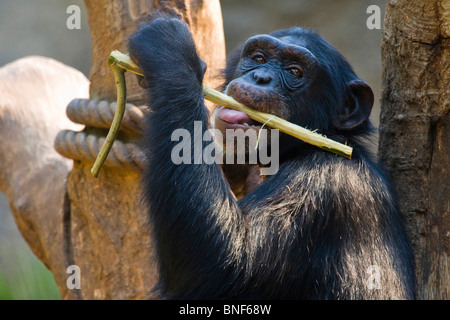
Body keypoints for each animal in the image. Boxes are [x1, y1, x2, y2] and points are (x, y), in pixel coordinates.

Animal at [128, 13, 416, 298]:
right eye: (258, 58)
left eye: (294, 72)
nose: (261, 77)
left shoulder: (325, 187)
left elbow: (225, 261)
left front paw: (168, 48)